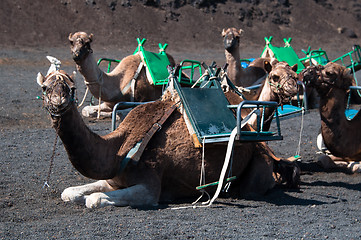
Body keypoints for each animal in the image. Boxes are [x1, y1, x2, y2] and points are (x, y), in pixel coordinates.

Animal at [37, 69, 300, 208]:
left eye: (71, 88)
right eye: (45, 88)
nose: (58, 102)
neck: (120, 149)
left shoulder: (150, 187)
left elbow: (94, 199)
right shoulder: (114, 180)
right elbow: (70, 192)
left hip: (256, 171)